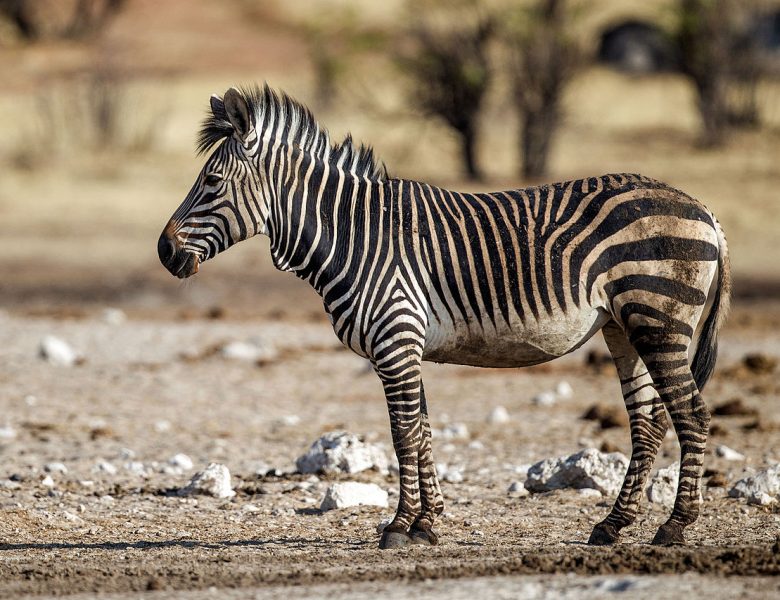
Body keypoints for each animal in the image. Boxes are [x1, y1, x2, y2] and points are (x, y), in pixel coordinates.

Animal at [158, 85, 730, 549]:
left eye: (212, 181)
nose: (164, 252)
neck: (354, 236)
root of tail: (703, 208)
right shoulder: (405, 347)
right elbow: (424, 431)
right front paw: (426, 524)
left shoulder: (395, 342)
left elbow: (403, 434)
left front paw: (398, 526)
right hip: (622, 327)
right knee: (647, 424)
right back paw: (613, 525)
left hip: (658, 320)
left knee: (691, 414)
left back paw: (674, 527)